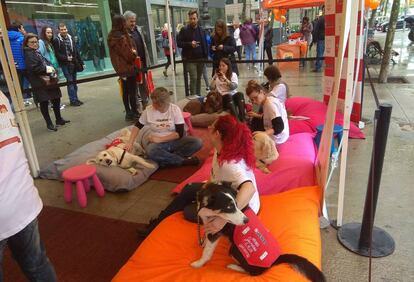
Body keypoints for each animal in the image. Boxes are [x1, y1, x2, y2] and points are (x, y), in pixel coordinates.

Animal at [192, 184, 326, 280]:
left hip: (235, 249)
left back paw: (233, 266)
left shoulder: (215, 231)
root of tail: (275, 260)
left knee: (254, 273)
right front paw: (203, 243)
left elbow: (207, 253)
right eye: (229, 207)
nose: (247, 220)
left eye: (236, 204)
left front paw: (198, 263)